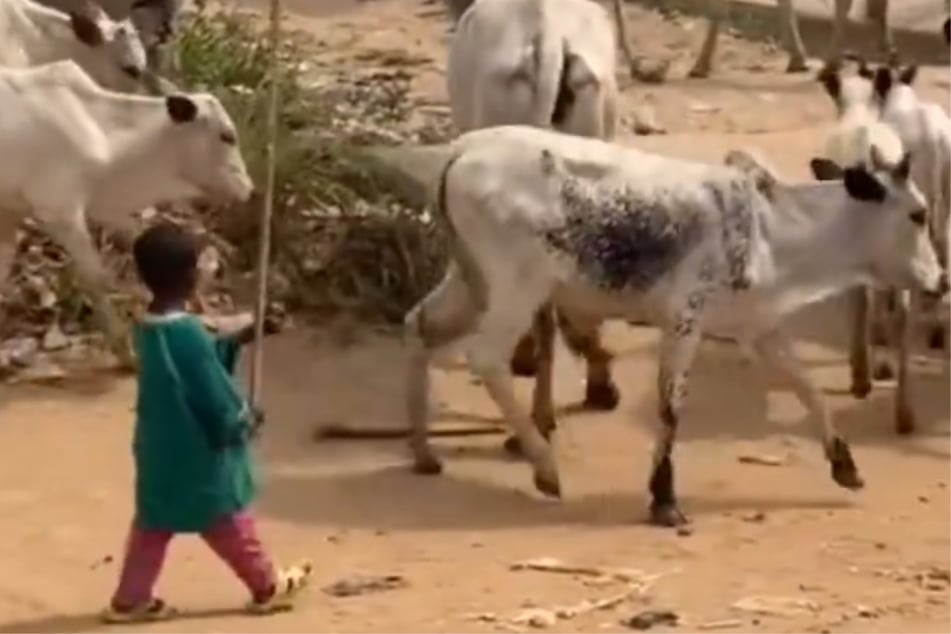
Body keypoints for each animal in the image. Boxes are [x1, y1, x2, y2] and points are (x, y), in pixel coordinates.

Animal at [0, 60, 253, 366]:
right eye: (227, 136)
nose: (248, 188)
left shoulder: (12, 212)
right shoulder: (59, 211)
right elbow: (96, 277)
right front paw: (123, 348)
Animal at [406, 122, 948, 524]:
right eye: (918, 214)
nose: (940, 280)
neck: (770, 229)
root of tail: (463, 148)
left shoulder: (759, 327)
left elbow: (807, 387)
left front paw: (844, 464)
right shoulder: (685, 321)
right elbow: (670, 409)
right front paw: (664, 499)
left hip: (469, 279)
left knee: (420, 325)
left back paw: (423, 453)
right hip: (516, 288)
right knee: (485, 357)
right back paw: (544, 467)